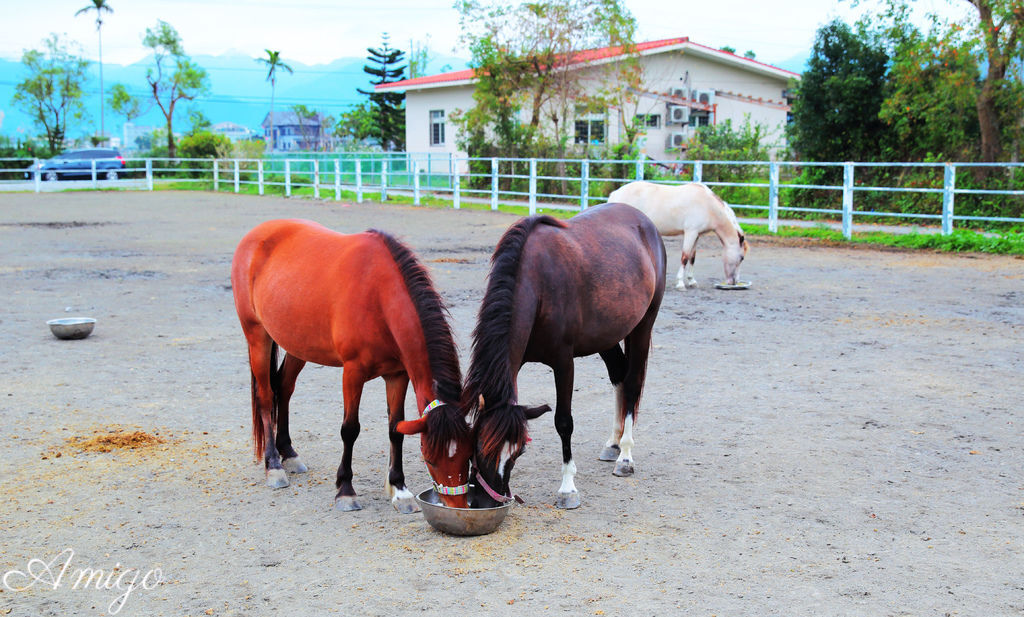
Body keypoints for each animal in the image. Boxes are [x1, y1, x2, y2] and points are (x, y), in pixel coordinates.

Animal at [232, 219, 471, 513]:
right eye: (430, 458)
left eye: (469, 455)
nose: (458, 504)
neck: (379, 296)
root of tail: (258, 233)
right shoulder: (353, 373)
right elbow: (350, 429)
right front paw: (345, 490)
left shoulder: (397, 375)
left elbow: (396, 429)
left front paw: (399, 488)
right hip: (258, 336)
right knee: (266, 397)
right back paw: (274, 464)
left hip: (298, 344)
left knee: (284, 389)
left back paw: (288, 452)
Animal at [462, 205, 663, 509]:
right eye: (477, 443)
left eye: (518, 453)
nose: (485, 501)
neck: (538, 284)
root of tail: (644, 222)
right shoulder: (516, 362)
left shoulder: (563, 362)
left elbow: (564, 422)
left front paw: (568, 488)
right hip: (606, 335)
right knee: (619, 375)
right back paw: (613, 443)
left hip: (642, 326)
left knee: (632, 384)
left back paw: (625, 456)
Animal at [602, 180, 749, 290]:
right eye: (741, 258)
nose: (734, 282)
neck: (707, 205)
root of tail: (615, 193)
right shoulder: (690, 232)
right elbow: (684, 257)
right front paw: (680, 283)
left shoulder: (697, 235)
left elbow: (692, 258)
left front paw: (691, 281)